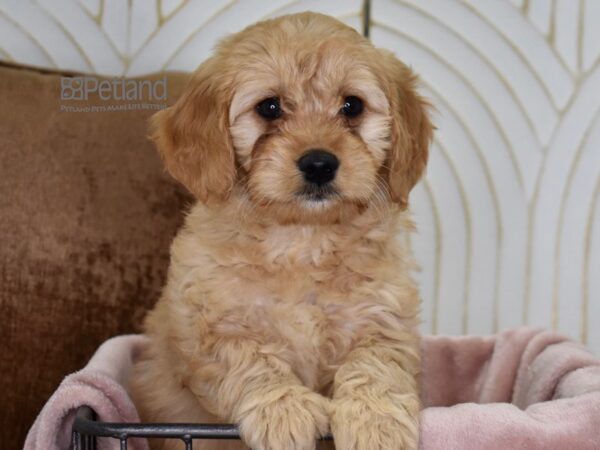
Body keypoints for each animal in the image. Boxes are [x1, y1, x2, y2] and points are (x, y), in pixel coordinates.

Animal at [130, 10, 432, 450]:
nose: (320, 164)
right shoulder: (210, 326)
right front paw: (283, 411)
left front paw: (377, 423)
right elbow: (249, 358)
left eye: (352, 106)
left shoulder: (383, 319)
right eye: (269, 107)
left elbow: (375, 365)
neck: (302, 239)